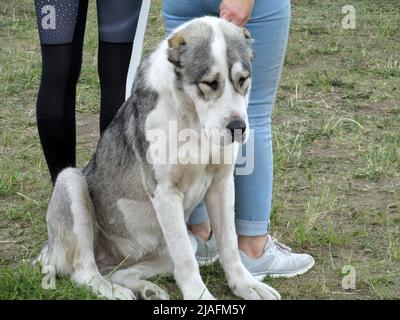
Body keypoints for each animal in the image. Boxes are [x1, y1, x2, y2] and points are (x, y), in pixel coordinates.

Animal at [36, 15, 282, 300]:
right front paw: (200, 297)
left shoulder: (221, 184)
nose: (238, 127)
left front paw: (246, 284)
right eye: (210, 83)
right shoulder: (165, 192)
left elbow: (229, 245)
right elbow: (186, 262)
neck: (192, 120)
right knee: (84, 272)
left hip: (184, 242)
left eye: (243, 80)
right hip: (70, 180)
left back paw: (148, 289)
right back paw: (115, 291)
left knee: (122, 271)